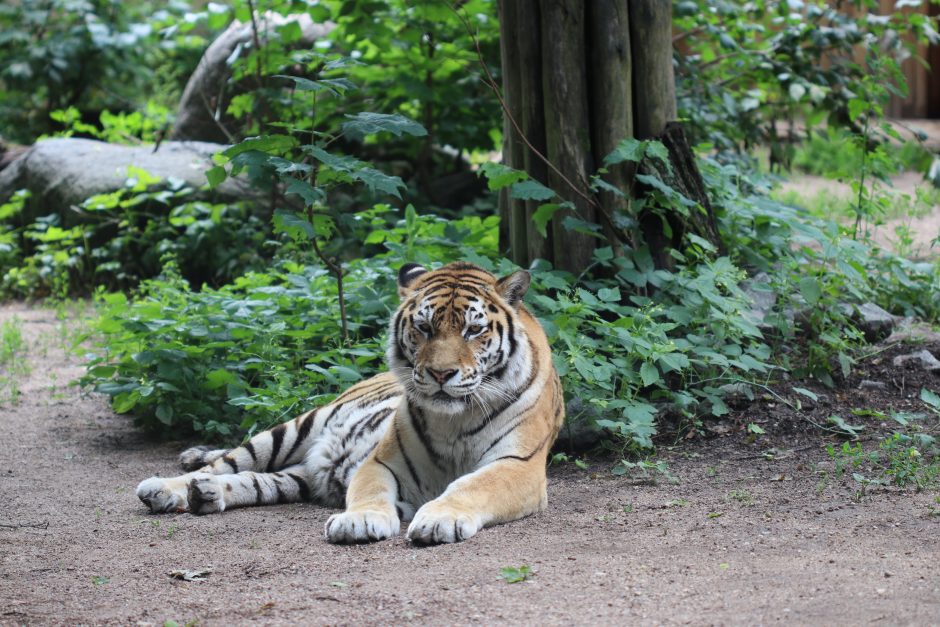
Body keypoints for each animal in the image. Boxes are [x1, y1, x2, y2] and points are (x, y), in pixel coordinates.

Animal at [135, 262, 560, 544]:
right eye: (424, 328)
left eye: (473, 330)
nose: (441, 374)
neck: (453, 421)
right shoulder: (383, 461)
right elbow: (369, 491)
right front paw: (359, 521)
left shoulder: (518, 465)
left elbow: (471, 486)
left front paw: (439, 518)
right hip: (295, 428)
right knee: (228, 461)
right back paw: (166, 486)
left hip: (298, 477)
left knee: (255, 480)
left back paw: (206, 493)